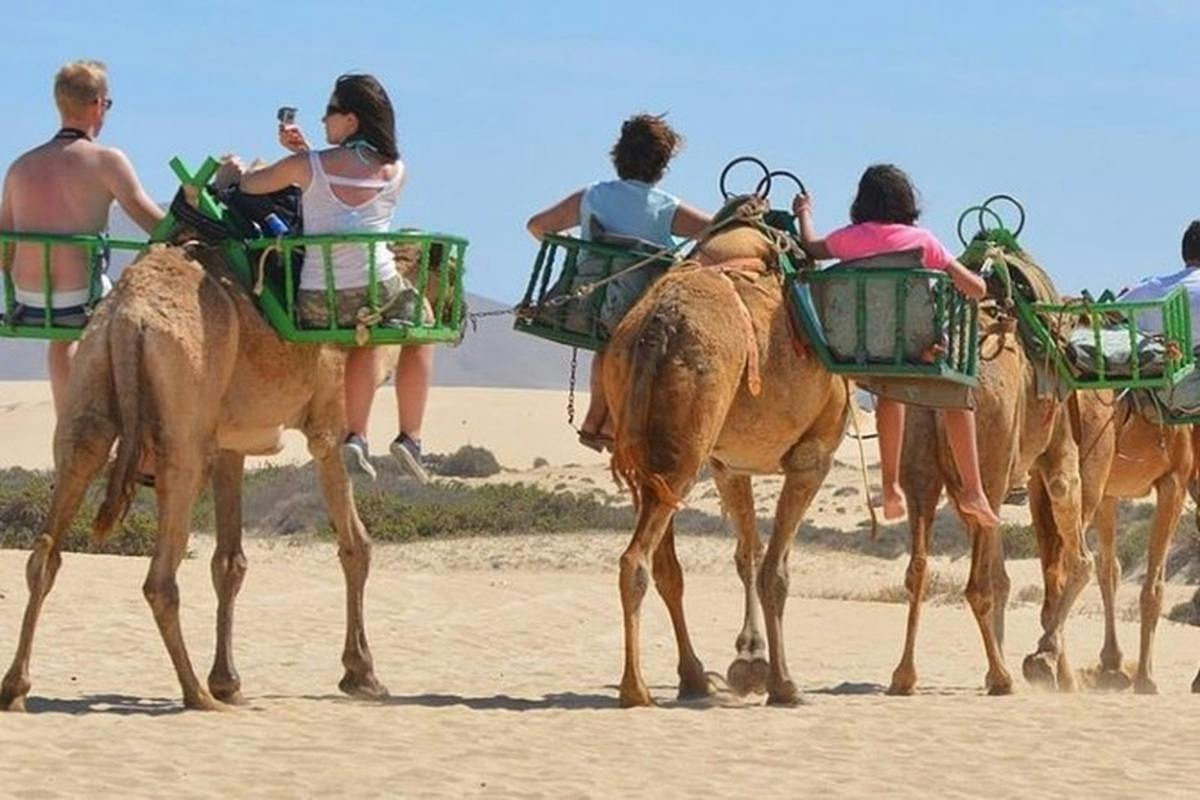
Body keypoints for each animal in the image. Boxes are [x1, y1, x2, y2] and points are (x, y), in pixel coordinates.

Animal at [0, 242, 391, 711]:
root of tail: (129, 318)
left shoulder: (229, 444)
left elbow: (229, 561)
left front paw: (229, 681)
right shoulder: (327, 418)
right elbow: (356, 544)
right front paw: (362, 674)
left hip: (90, 382)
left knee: (52, 534)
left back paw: (15, 688)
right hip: (185, 415)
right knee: (160, 575)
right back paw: (197, 694)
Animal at [604, 200, 849, 707]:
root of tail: (658, 325)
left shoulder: (728, 465)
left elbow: (747, 557)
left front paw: (750, 662)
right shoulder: (813, 455)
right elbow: (775, 570)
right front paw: (782, 684)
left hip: (649, 447)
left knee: (664, 564)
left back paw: (693, 677)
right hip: (686, 445)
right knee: (636, 560)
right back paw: (636, 689)